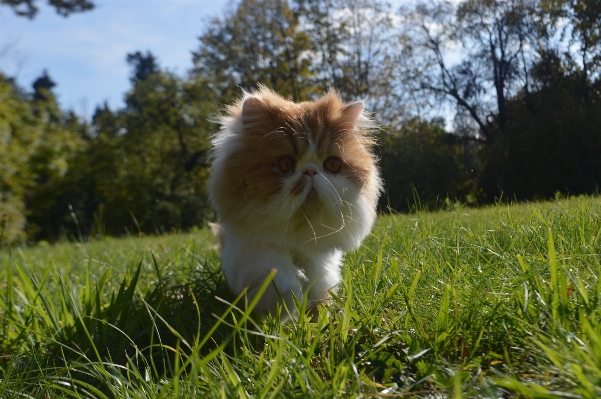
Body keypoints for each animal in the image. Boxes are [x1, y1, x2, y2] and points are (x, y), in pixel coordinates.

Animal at [209, 87, 382, 322]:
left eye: (333, 165)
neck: (298, 236)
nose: (310, 171)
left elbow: (319, 294)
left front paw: (315, 321)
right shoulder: (250, 252)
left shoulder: (320, 265)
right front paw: (287, 307)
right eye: (286, 164)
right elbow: (279, 282)